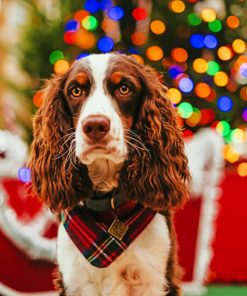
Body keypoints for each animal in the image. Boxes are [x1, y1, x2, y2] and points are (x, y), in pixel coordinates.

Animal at [29, 53, 191, 296]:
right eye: (75, 90)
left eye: (124, 88)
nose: (95, 125)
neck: (107, 205)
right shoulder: (74, 279)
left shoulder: (154, 276)